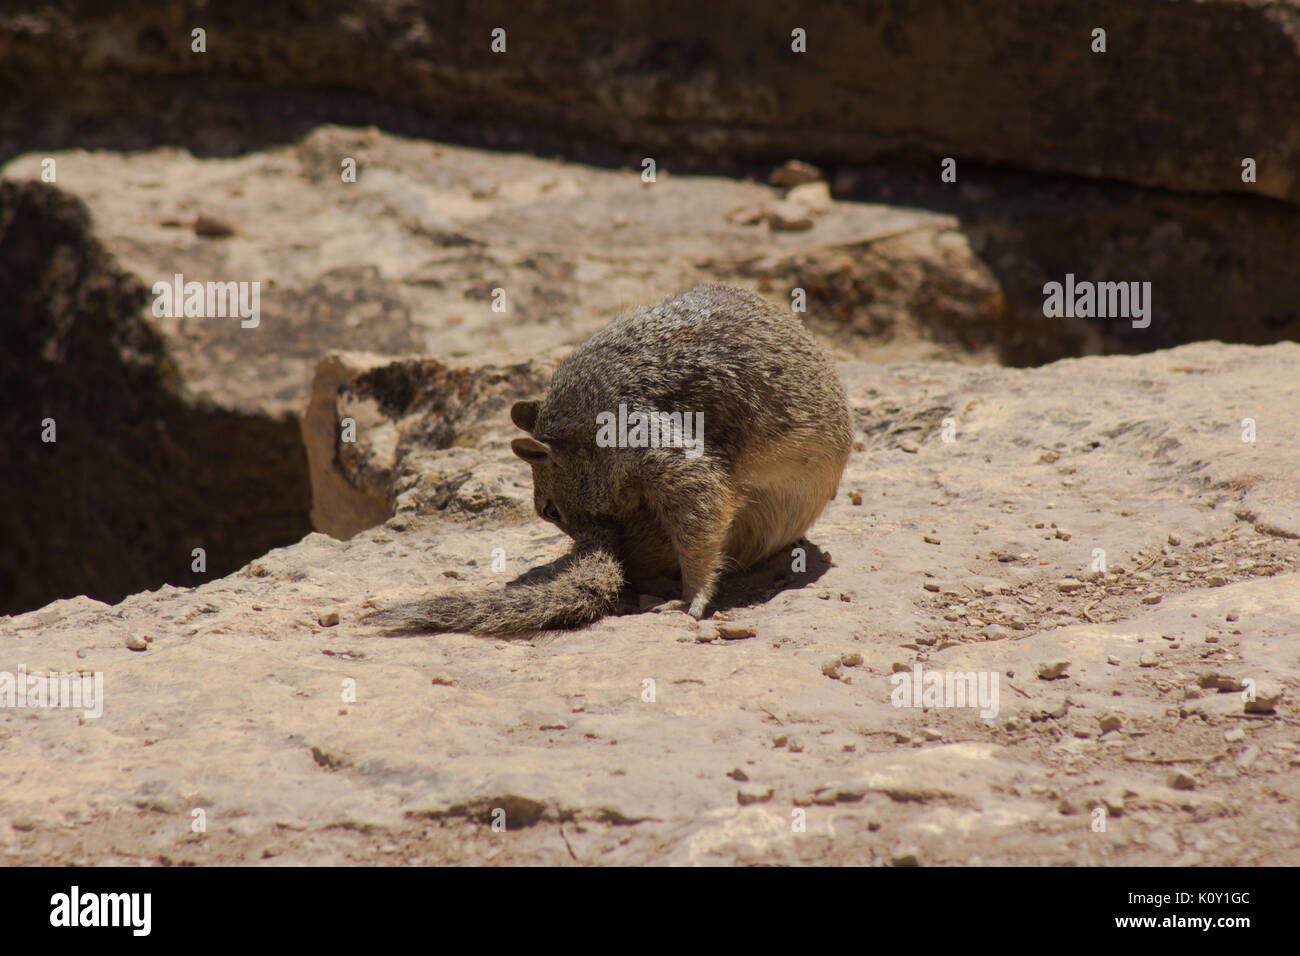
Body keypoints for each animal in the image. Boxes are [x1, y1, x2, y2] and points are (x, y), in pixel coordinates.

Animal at [366, 283, 852, 634]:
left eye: (549, 510)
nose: (583, 539)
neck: (589, 421)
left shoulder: (653, 445)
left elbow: (702, 513)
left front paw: (691, 598)